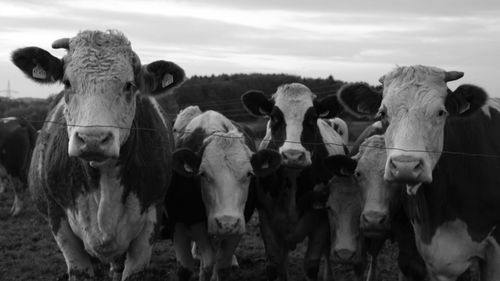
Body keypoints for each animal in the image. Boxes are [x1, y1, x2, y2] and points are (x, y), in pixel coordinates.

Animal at [166, 109, 276, 280]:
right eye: (202, 174)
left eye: (249, 174)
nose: (226, 222)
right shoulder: (178, 222)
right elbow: (189, 268)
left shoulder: (239, 224)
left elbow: (221, 266)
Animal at [242, 83, 348, 280]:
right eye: (274, 117)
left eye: (312, 118)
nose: (293, 155)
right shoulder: (267, 219)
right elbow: (274, 264)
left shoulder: (321, 222)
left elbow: (311, 266)